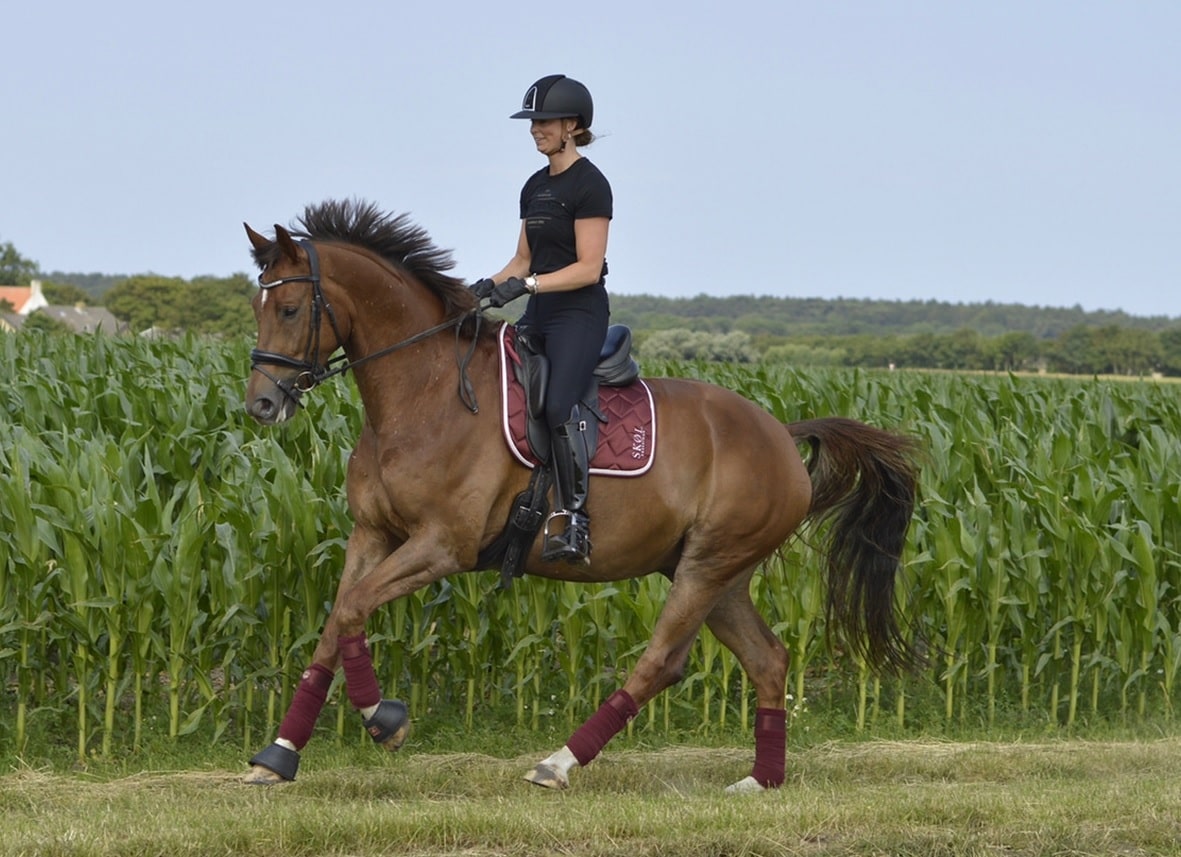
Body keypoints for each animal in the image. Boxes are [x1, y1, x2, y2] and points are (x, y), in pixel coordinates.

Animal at [239, 198, 921, 793]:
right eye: (257, 304)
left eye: (292, 308)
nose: (262, 404)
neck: (422, 394)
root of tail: (781, 432)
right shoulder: (374, 534)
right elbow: (336, 621)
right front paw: (278, 754)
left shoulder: (442, 545)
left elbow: (355, 609)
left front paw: (386, 720)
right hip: (718, 574)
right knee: (769, 659)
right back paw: (760, 780)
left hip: (708, 564)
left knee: (663, 662)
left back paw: (558, 763)